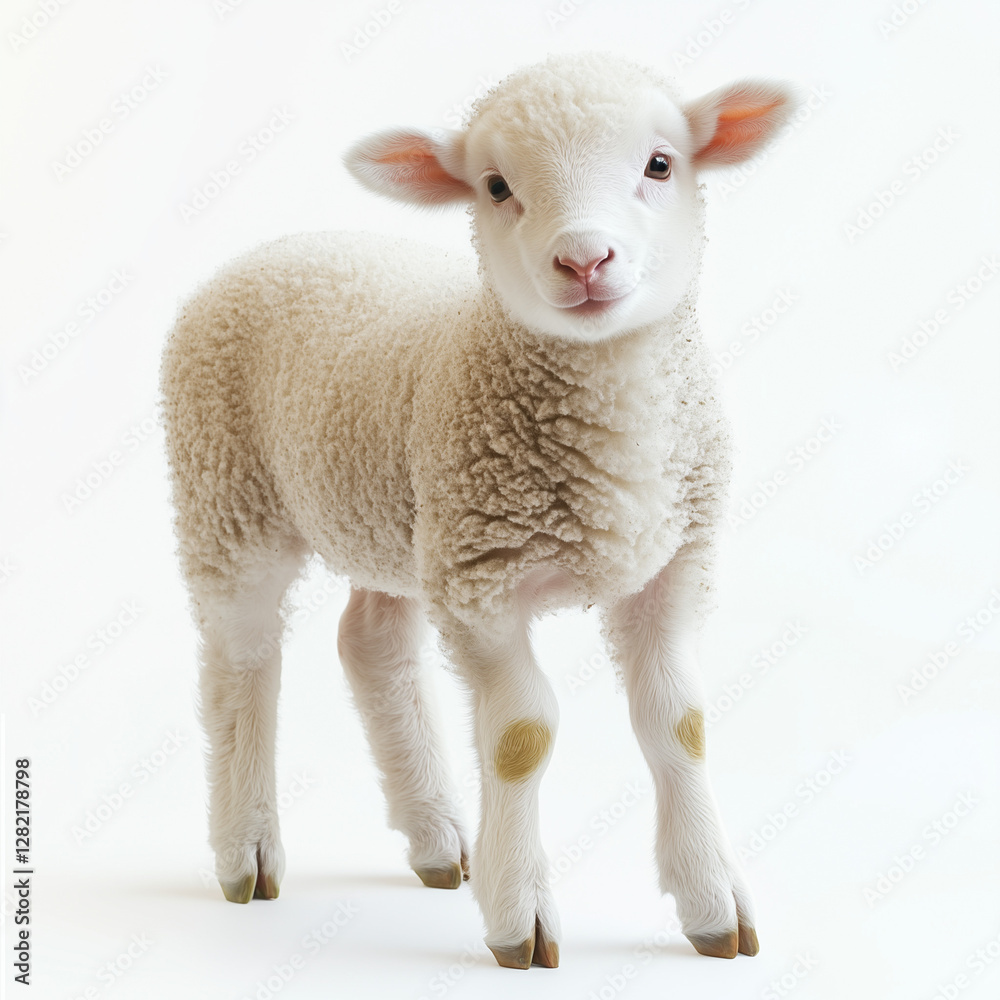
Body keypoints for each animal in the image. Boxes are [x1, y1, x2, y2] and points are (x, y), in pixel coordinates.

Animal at [160, 51, 797, 969]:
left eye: (661, 164)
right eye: (496, 187)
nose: (584, 259)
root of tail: (282, 244)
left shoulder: (674, 565)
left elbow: (680, 724)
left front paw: (712, 905)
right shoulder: (481, 585)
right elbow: (521, 736)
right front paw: (518, 918)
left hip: (396, 514)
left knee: (371, 646)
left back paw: (436, 839)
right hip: (228, 498)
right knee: (240, 664)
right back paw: (246, 850)